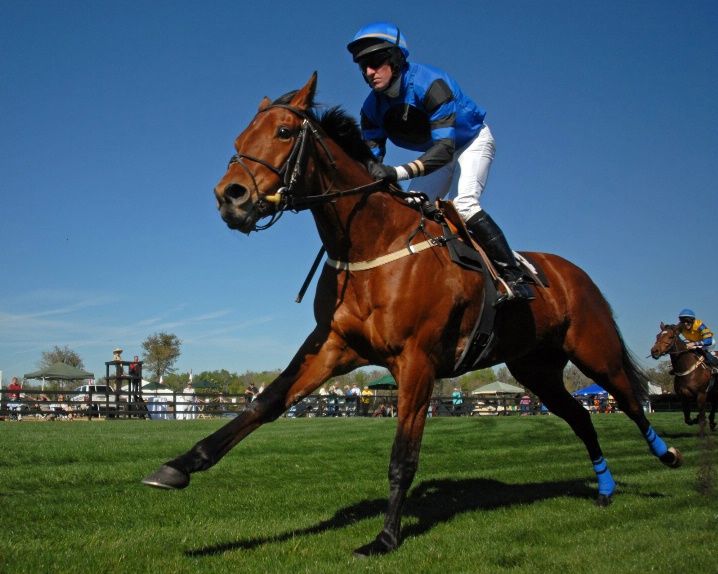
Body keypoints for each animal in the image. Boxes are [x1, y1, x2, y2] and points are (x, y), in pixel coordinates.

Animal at [142, 72, 688, 560]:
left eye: (282, 132)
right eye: (238, 140)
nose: (228, 197)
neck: (373, 244)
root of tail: (572, 271)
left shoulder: (417, 360)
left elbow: (403, 457)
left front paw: (384, 538)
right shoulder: (333, 346)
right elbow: (265, 404)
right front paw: (178, 466)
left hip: (594, 351)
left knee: (631, 399)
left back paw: (667, 455)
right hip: (537, 370)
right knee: (580, 415)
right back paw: (605, 488)